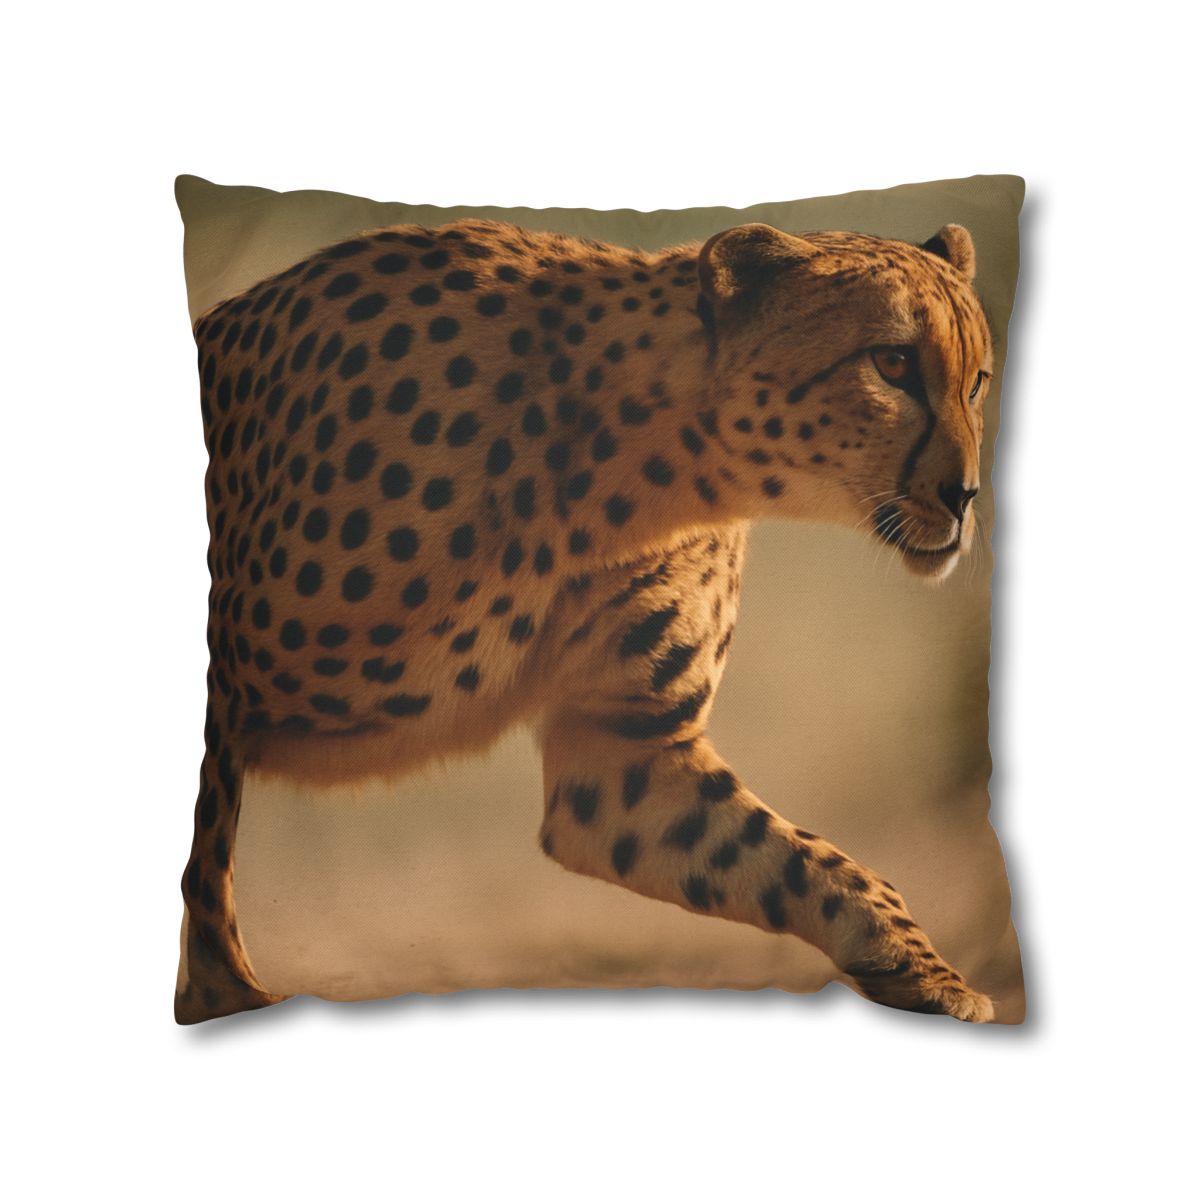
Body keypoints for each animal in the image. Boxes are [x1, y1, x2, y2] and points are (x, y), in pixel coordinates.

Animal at [177, 216, 995, 1024]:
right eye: (891, 363)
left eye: (978, 381)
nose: (966, 496)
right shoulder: (220, 685)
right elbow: (206, 868)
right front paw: (228, 997)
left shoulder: (622, 754)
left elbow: (811, 862)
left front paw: (926, 972)